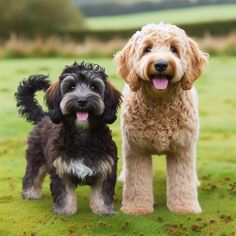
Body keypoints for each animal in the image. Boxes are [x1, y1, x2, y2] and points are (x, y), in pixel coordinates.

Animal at [15, 61, 121, 215]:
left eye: (94, 87)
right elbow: (64, 194)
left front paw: (103, 210)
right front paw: (65, 211)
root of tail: (44, 116)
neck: (83, 138)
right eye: (71, 87)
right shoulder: (61, 169)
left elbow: (102, 194)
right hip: (36, 157)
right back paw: (30, 193)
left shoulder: (106, 169)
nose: (82, 101)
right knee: (32, 174)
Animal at [115, 23, 207, 215]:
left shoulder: (182, 149)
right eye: (147, 49)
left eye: (174, 49)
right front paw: (137, 208)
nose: (161, 64)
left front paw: (185, 208)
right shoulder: (137, 150)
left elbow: (182, 182)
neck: (160, 104)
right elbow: (137, 182)